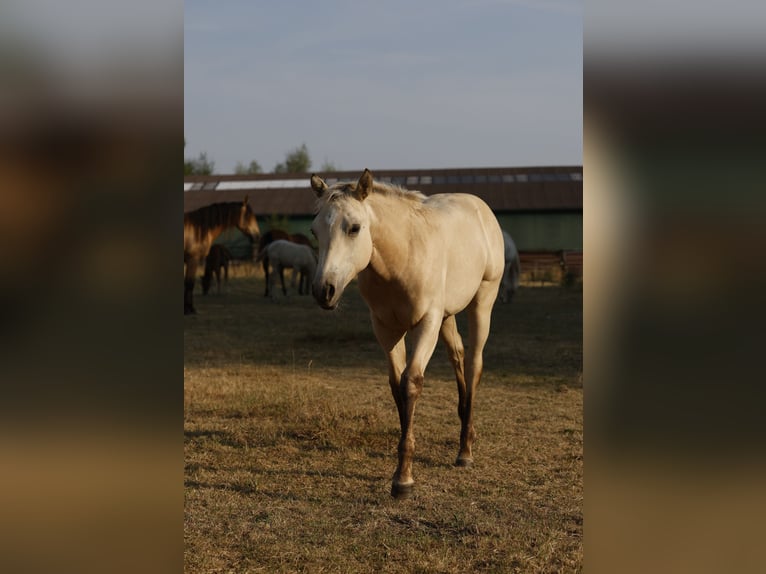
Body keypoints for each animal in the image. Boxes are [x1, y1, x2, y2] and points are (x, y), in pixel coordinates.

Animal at [310, 169, 505, 498]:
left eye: (354, 228)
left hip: (482, 302)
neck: (401, 257)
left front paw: (403, 479)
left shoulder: (426, 322)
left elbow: (411, 382)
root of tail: (481, 208)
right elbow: (395, 386)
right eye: (314, 232)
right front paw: (401, 470)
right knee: (457, 356)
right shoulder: (386, 329)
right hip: (447, 315)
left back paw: (465, 450)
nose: (324, 291)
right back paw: (463, 422)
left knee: (473, 363)